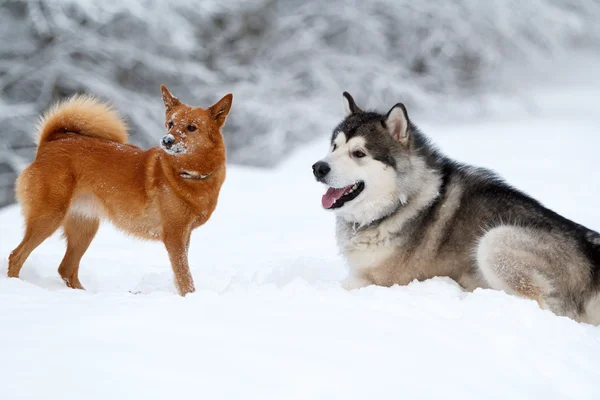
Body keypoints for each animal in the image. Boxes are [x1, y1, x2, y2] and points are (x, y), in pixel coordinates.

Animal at [7, 85, 232, 296]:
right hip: (48, 218)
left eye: (191, 127)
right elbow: (185, 277)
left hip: (85, 228)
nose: (166, 141)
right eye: (170, 124)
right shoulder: (174, 236)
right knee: (16, 256)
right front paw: (190, 297)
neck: (189, 174)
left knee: (66, 269)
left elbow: (180, 275)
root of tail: (50, 143)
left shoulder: (184, 237)